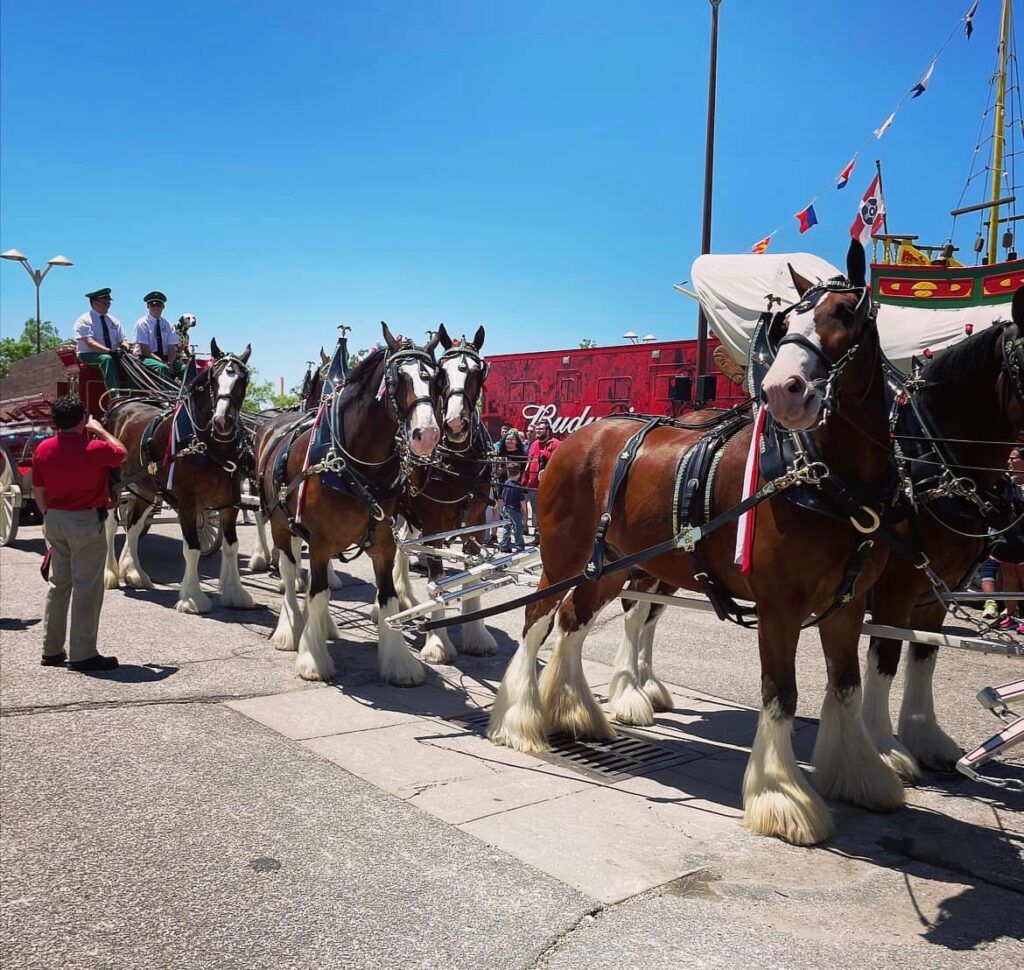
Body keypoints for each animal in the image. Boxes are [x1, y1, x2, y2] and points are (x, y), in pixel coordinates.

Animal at [101, 342, 251, 614]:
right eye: (213, 379)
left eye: (243, 379)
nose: (222, 421)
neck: (207, 445)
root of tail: (120, 405)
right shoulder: (188, 504)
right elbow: (191, 548)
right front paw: (192, 597)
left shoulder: (230, 503)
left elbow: (231, 546)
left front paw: (235, 593)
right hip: (114, 485)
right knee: (110, 524)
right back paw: (110, 574)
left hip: (145, 489)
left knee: (133, 526)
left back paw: (135, 573)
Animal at [251, 323, 440, 684]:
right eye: (398, 378)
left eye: (436, 379)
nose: (427, 435)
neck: (354, 466)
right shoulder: (321, 540)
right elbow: (318, 590)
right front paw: (312, 658)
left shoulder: (384, 541)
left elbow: (387, 598)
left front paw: (398, 661)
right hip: (280, 521)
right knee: (289, 570)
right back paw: (291, 628)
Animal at [389, 323, 497, 659]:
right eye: (442, 374)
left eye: (477, 372)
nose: (455, 424)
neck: (458, 462)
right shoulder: (434, 527)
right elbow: (436, 581)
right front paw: (437, 642)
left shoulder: (477, 524)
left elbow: (474, 573)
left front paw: (477, 634)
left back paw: (406, 598)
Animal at [489, 240, 905, 844]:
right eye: (784, 325)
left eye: (846, 314)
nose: (783, 391)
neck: (825, 481)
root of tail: (576, 440)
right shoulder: (779, 606)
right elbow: (781, 695)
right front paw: (782, 798)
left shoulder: (846, 605)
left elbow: (846, 685)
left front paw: (861, 776)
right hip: (562, 557)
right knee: (537, 619)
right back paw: (519, 721)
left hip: (611, 566)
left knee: (572, 623)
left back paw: (574, 713)